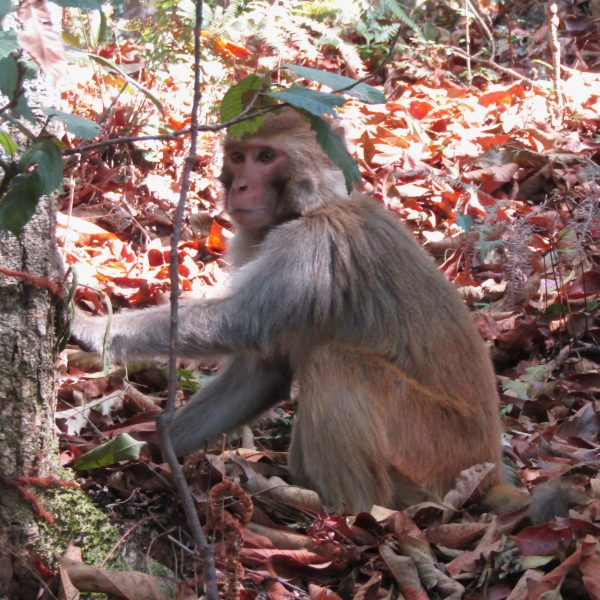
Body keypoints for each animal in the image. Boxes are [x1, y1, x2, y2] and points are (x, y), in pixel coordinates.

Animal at [74, 106, 536, 510]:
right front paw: (158, 451)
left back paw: (344, 508)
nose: (240, 186)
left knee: (334, 363)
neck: (311, 207)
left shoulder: (311, 249)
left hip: (432, 450)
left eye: (265, 157)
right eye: (238, 157)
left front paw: (90, 330)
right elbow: (263, 372)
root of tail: (489, 472)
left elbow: (242, 322)